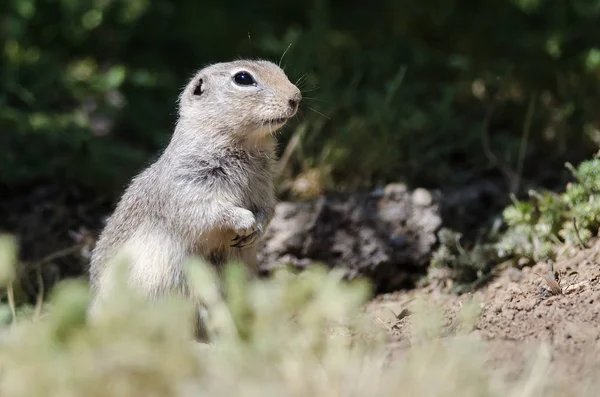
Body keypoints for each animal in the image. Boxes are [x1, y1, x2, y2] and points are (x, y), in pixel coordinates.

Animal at [87, 57, 302, 326]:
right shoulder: (189, 187)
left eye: (276, 68)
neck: (244, 145)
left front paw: (257, 229)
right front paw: (245, 221)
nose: (296, 97)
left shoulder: (264, 188)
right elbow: (209, 211)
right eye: (243, 78)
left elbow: (269, 210)